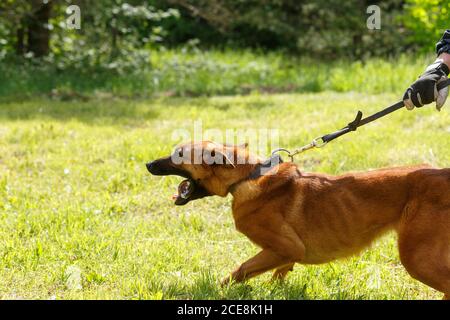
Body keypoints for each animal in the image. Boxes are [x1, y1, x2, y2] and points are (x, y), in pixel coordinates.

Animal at [147, 141, 450, 298]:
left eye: (178, 154)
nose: (148, 164)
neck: (248, 177)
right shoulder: (285, 254)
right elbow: (277, 274)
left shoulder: (286, 247)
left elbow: (240, 270)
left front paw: (215, 291)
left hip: (416, 258)